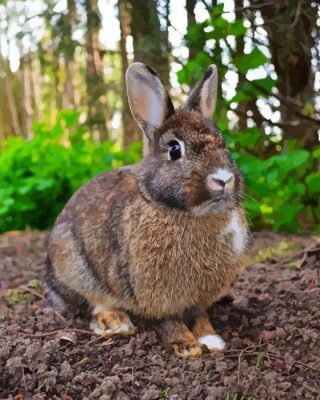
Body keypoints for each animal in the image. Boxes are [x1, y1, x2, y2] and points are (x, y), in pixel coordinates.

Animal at [45, 61, 248, 356]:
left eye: (223, 144)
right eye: (174, 149)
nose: (223, 178)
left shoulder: (200, 299)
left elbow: (200, 316)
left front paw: (212, 340)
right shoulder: (156, 296)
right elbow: (169, 321)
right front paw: (187, 346)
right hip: (73, 266)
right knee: (94, 302)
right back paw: (116, 322)